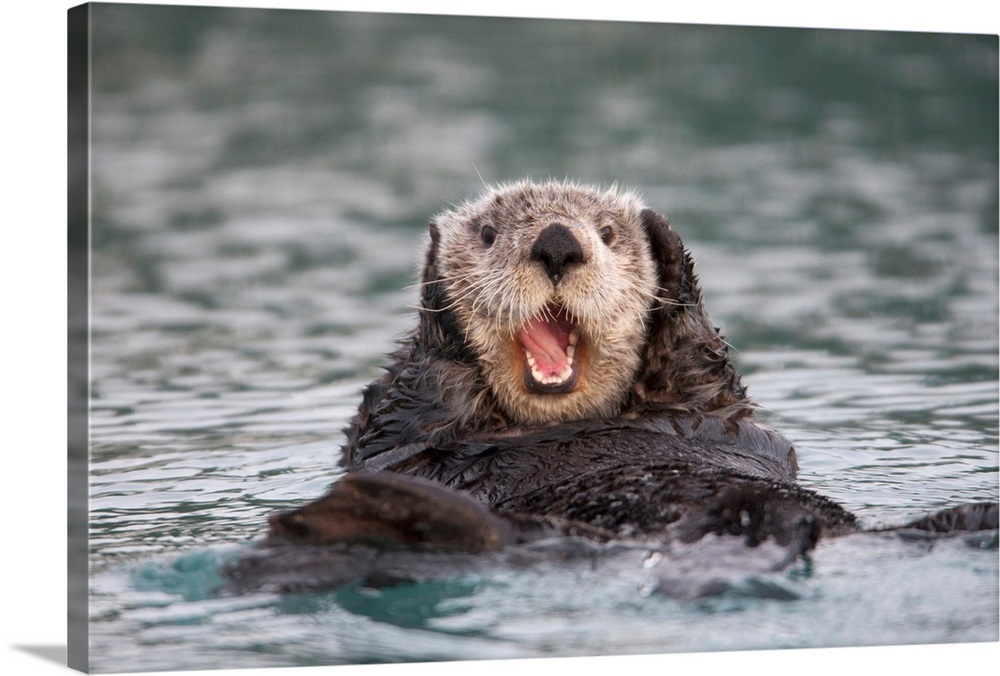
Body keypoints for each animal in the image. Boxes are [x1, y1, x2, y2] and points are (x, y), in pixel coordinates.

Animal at [225, 180, 997, 595]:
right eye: (488, 232)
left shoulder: (707, 406)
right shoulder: (398, 429)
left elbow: (702, 366)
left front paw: (668, 244)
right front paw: (437, 290)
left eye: (605, 231)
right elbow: (408, 411)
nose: (558, 242)